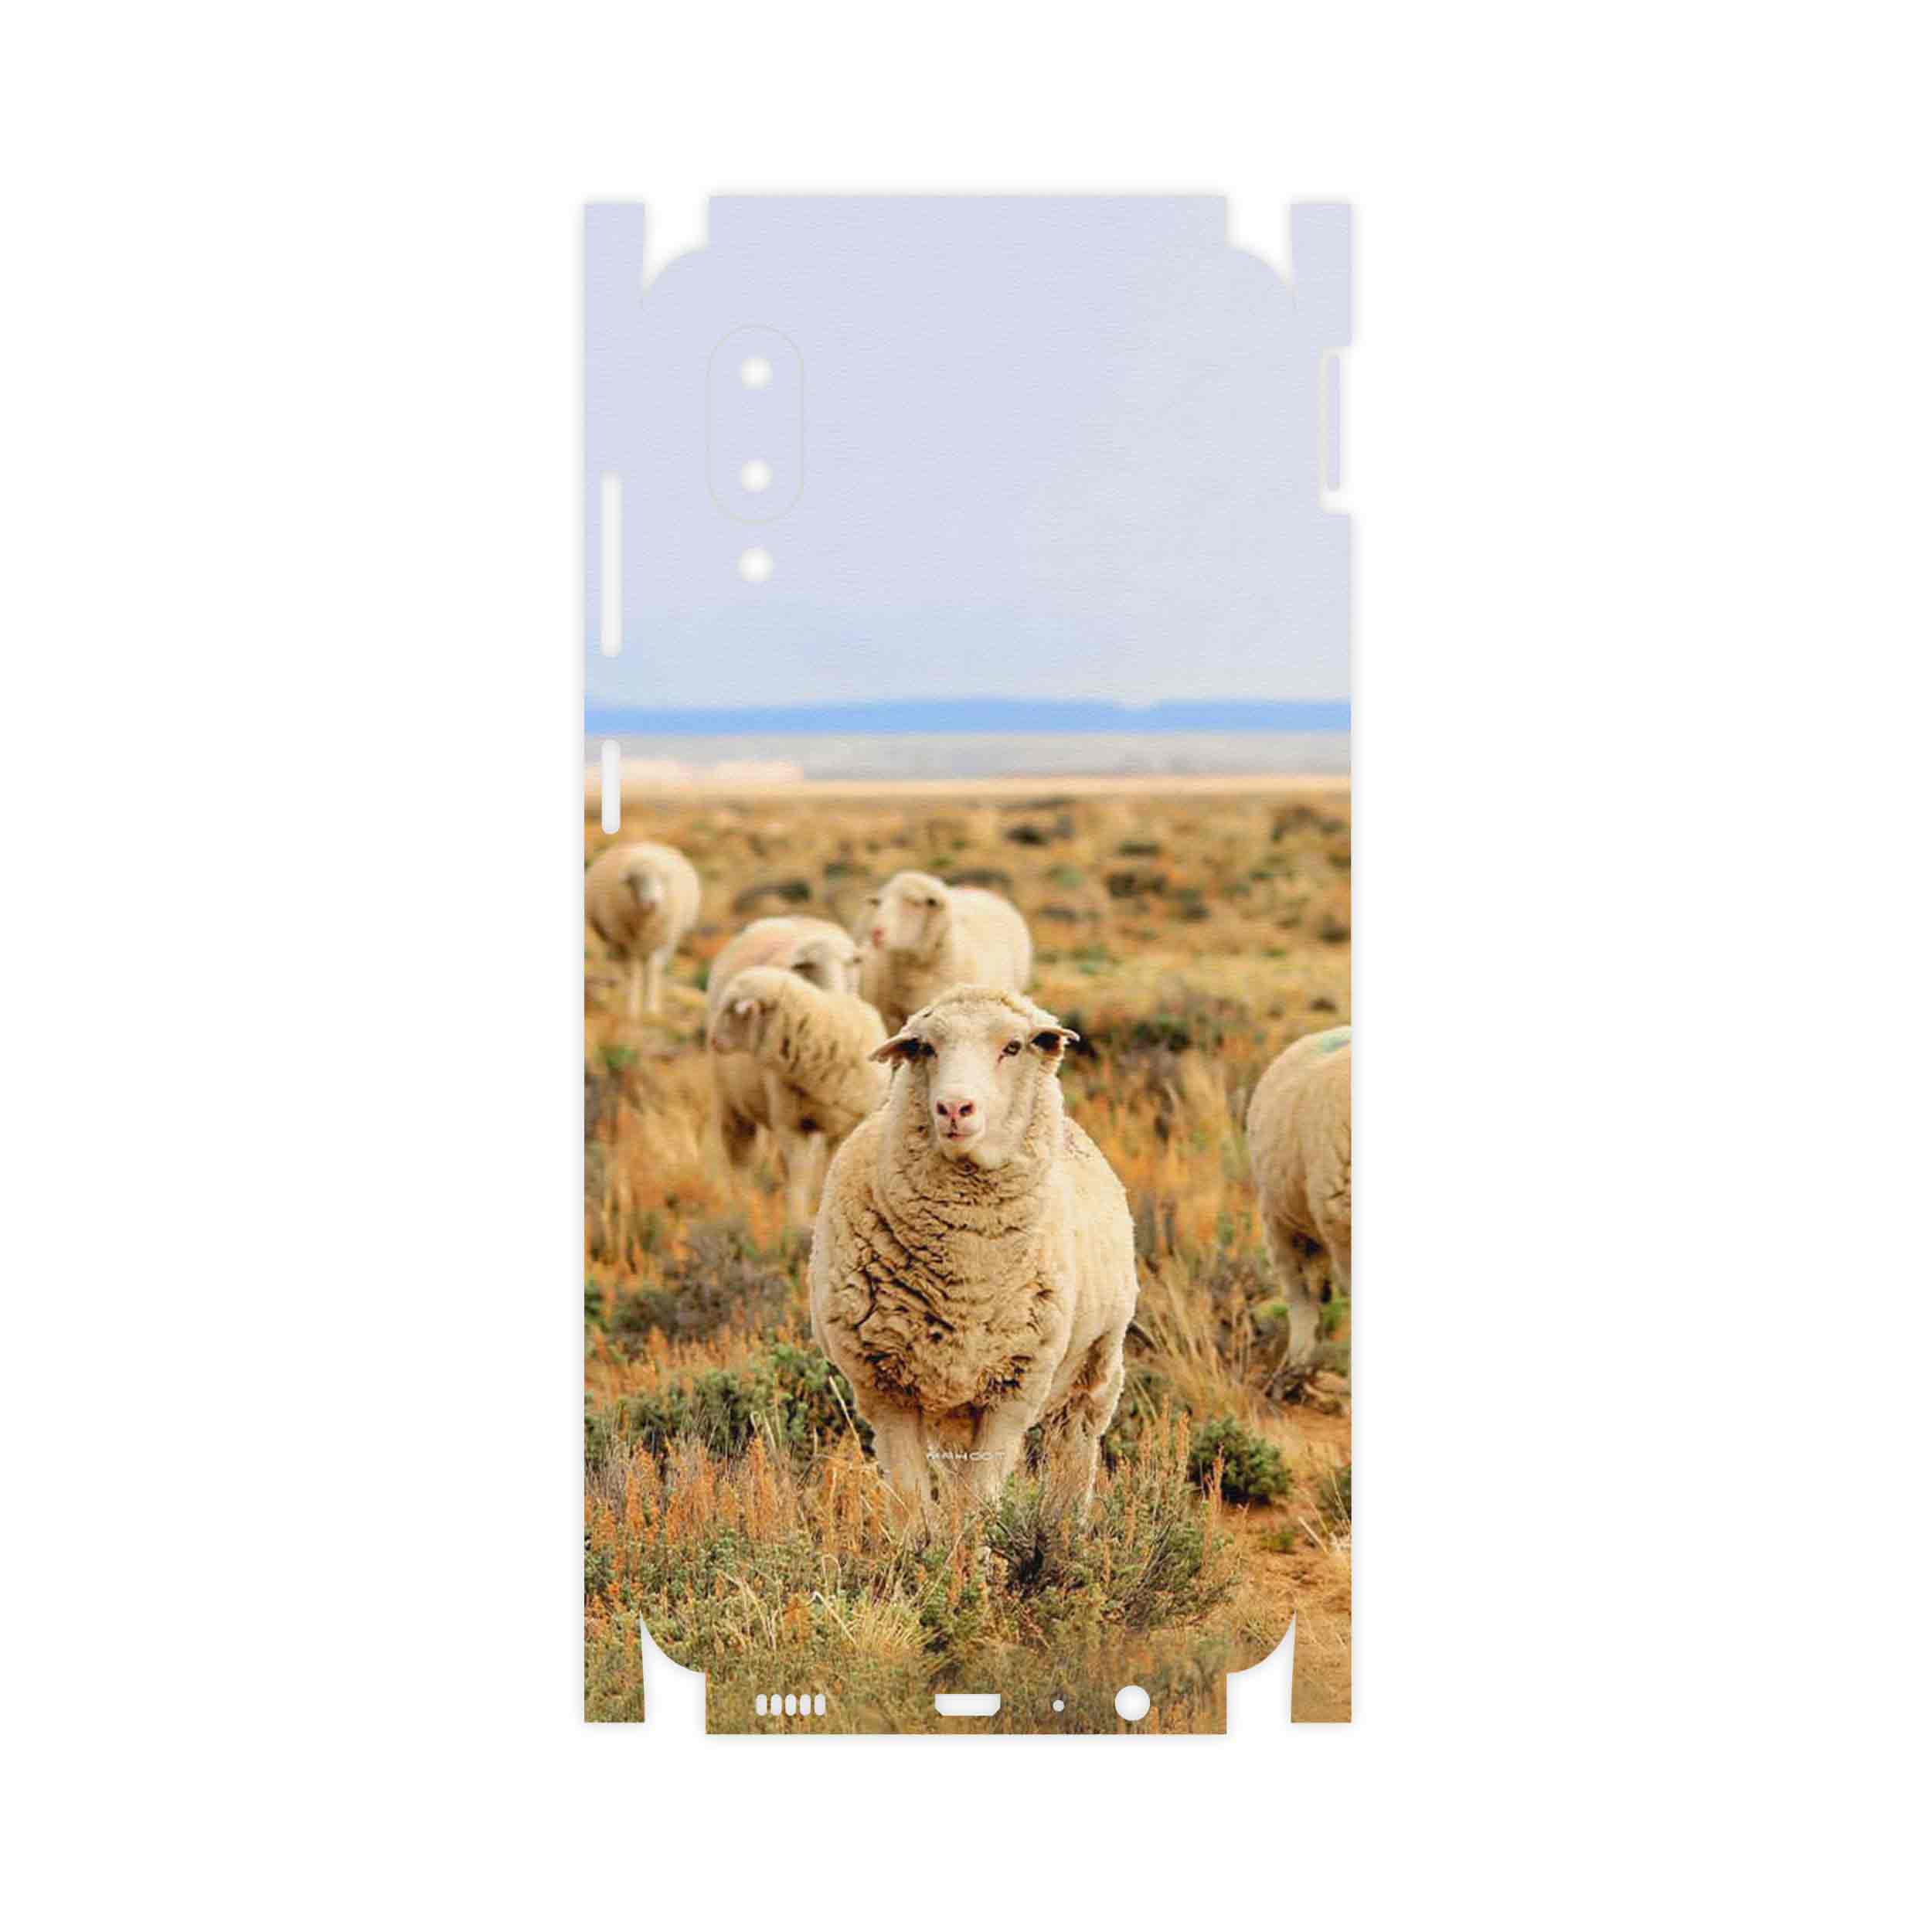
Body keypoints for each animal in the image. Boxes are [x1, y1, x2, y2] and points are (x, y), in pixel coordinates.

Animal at [584, 841, 701, 1018]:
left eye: (661, 878)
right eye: (636, 880)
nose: (652, 902)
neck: (646, 923)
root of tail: (644, 844)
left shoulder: (662, 941)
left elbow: (653, 970)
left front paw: (652, 1010)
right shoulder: (625, 942)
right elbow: (634, 972)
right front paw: (632, 1009)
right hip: (615, 940)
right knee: (620, 967)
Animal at [708, 966, 889, 1226]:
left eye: (733, 1010)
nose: (713, 1040)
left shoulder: (849, 1124)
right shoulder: (791, 1124)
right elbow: (799, 1173)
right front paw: (796, 1220)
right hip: (733, 1108)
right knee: (741, 1158)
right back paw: (741, 1206)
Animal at [809, 984, 1137, 1526]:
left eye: (1013, 1047)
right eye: (925, 1047)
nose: (954, 1108)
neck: (966, 1275)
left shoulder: (1013, 1390)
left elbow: (979, 1503)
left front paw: (976, 1550)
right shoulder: (885, 1389)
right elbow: (913, 1503)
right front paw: (923, 1548)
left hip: (1095, 1367)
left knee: (1074, 1448)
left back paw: (1066, 1527)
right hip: (952, 1407)